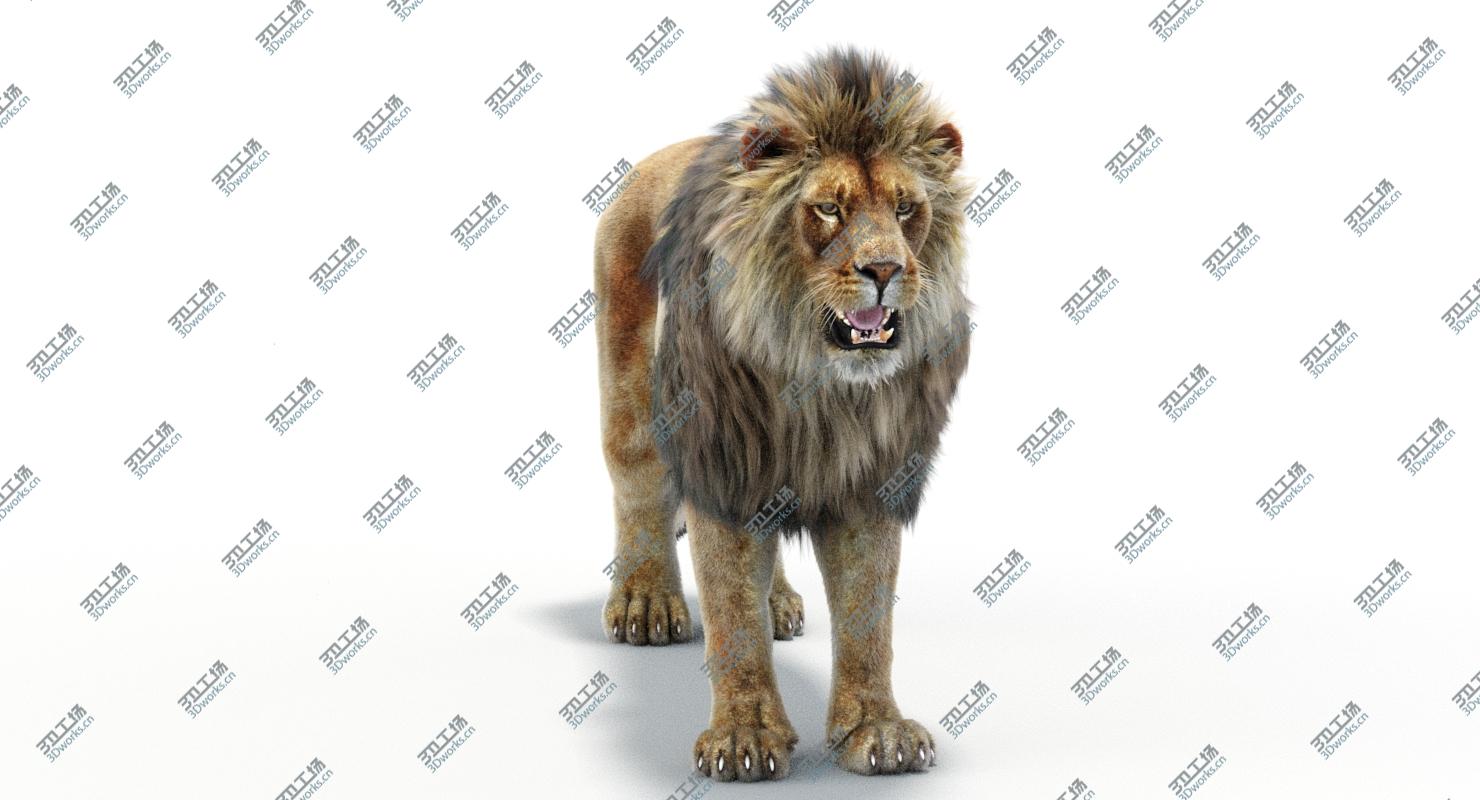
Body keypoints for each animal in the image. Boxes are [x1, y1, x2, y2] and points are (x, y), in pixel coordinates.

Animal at [594, 46, 972, 782]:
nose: (885, 269)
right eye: (827, 208)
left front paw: (876, 731)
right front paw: (744, 738)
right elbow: (730, 613)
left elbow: (868, 616)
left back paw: (780, 604)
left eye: (906, 208)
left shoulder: (869, 478)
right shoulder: (723, 462)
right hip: (631, 398)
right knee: (639, 491)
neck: (818, 387)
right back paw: (646, 601)